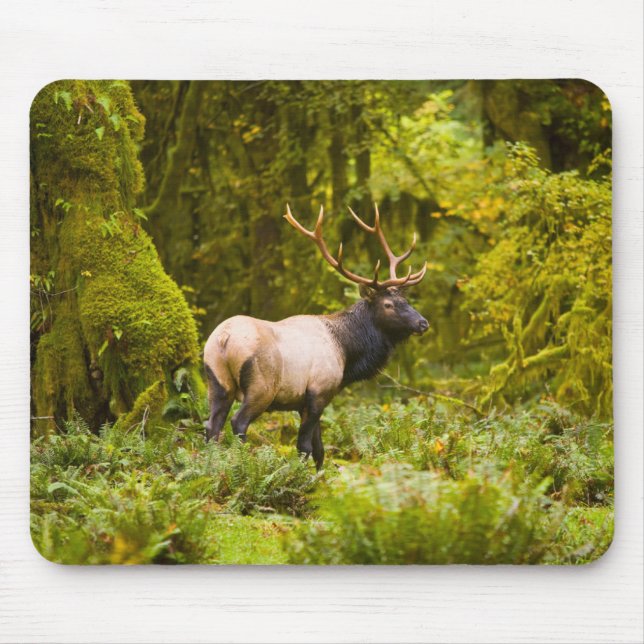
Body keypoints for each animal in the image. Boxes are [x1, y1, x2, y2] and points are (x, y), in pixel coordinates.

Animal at [203, 204, 429, 470]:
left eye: (406, 300)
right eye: (388, 304)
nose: (423, 323)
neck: (346, 353)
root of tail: (224, 339)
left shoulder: (307, 401)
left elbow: (320, 449)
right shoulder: (319, 391)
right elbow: (305, 447)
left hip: (217, 380)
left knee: (211, 426)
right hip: (261, 385)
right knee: (238, 422)